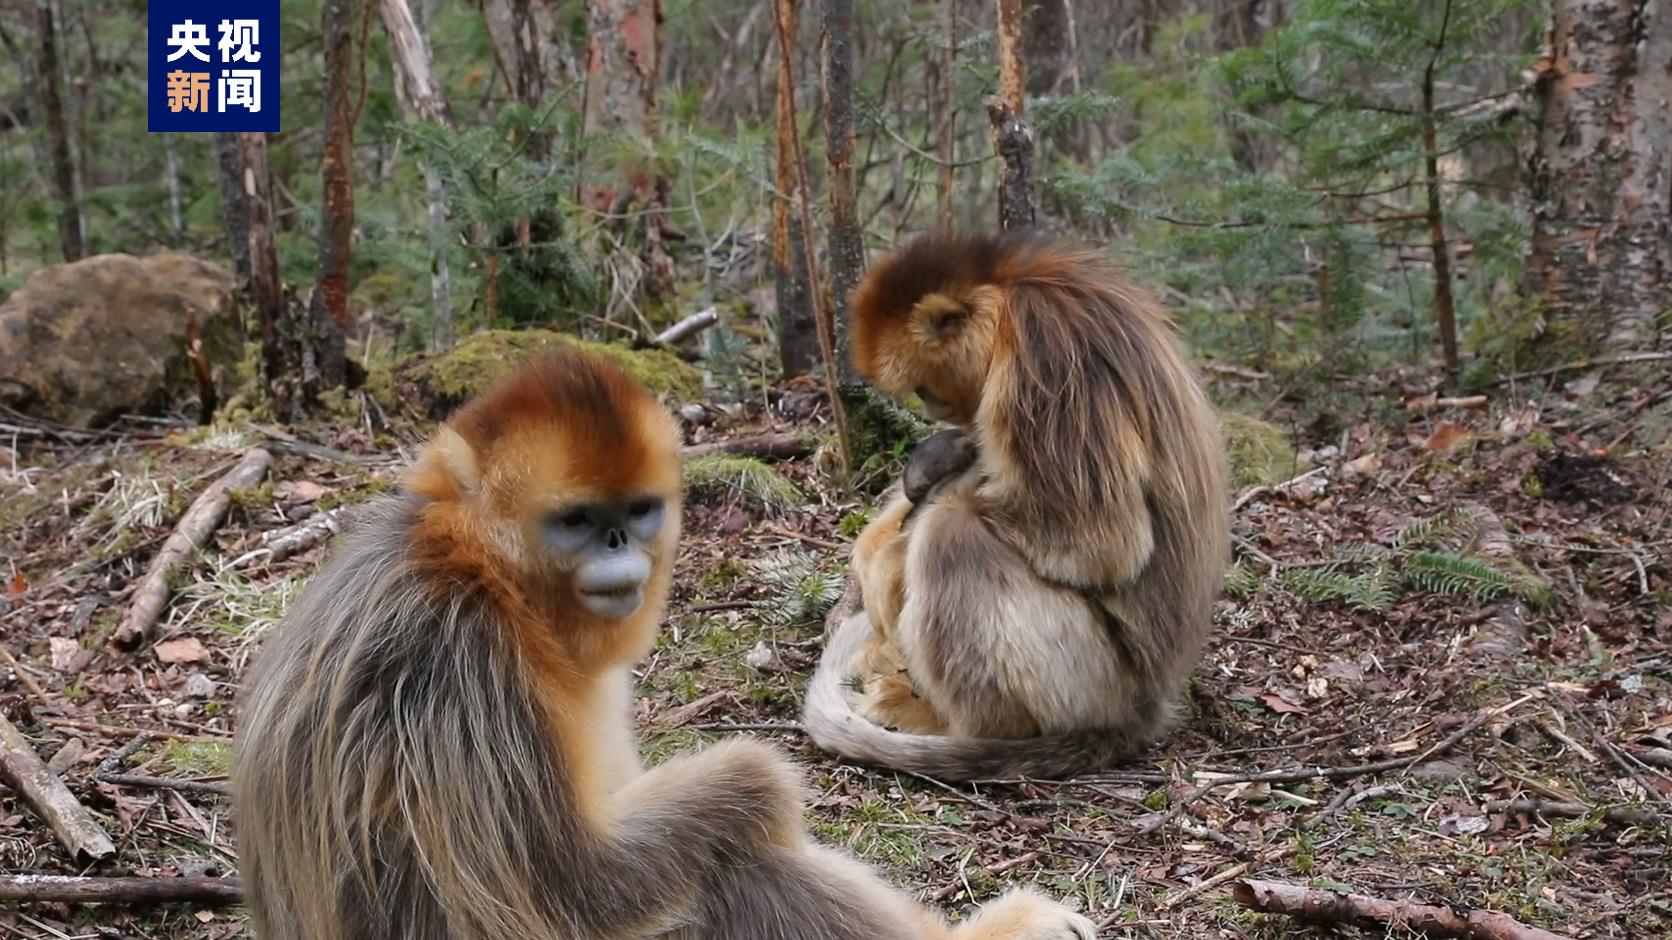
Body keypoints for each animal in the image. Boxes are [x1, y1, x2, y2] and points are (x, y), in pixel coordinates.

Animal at [235, 346, 1096, 936]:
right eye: (578, 520)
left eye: (637, 509)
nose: (621, 544)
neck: (486, 572)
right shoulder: (458, 660)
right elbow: (579, 887)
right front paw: (763, 779)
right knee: (730, 863)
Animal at [802, 230, 1237, 779]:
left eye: (923, 386)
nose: (933, 409)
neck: (1009, 289)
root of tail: (1147, 702)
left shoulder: (1043, 355)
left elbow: (1100, 548)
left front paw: (887, 563)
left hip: (1089, 683)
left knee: (953, 534)